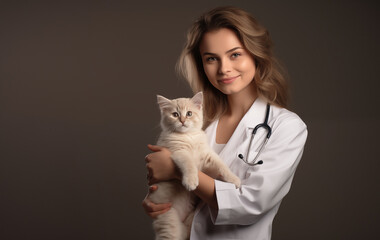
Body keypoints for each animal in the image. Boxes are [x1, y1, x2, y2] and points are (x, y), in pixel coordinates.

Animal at [148, 92, 240, 240]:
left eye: (189, 113)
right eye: (175, 114)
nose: (182, 120)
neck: (189, 136)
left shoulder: (208, 156)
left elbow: (222, 166)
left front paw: (234, 179)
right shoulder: (179, 153)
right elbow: (189, 164)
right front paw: (191, 181)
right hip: (169, 222)